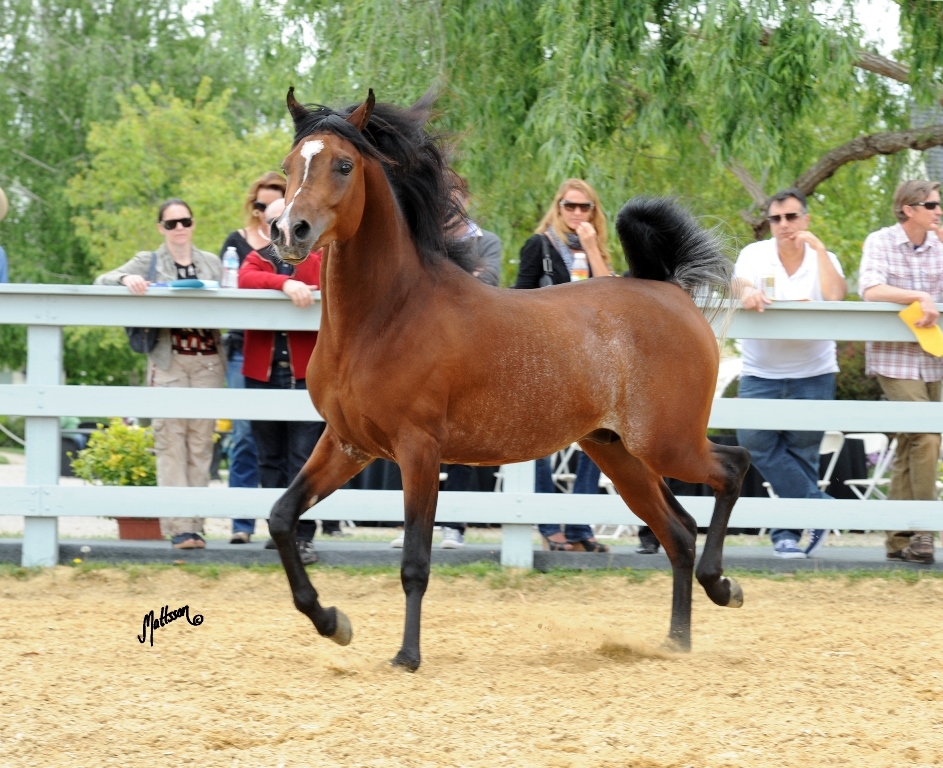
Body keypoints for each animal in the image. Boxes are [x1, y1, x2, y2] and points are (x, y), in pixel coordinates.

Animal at [268, 87, 751, 671]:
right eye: (289, 165)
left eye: (343, 165)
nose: (288, 232)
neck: (385, 317)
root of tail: (670, 290)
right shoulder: (348, 444)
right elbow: (281, 517)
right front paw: (332, 622)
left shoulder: (418, 450)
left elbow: (415, 561)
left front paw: (407, 655)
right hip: (618, 452)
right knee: (678, 531)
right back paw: (677, 639)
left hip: (667, 442)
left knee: (733, 468)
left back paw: (723, 586)